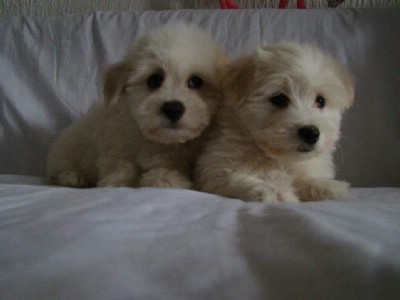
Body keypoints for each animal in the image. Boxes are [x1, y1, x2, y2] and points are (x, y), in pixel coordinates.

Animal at [47, 23, 225, 188]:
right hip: (74, 145)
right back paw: (73, 176)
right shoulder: (116, 142)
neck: (165, 142)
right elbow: (122, 167)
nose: (173, 108)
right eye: (154, 80)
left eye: (196, 82)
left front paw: (165, 177)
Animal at [195, 42, 354, 203]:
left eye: (321, 101)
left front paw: (328, 186)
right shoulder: (215, 169)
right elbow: (235, 179)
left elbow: (303, 179)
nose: (311, 133)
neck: (276, 158)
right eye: (279, 99)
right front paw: (274, 191)